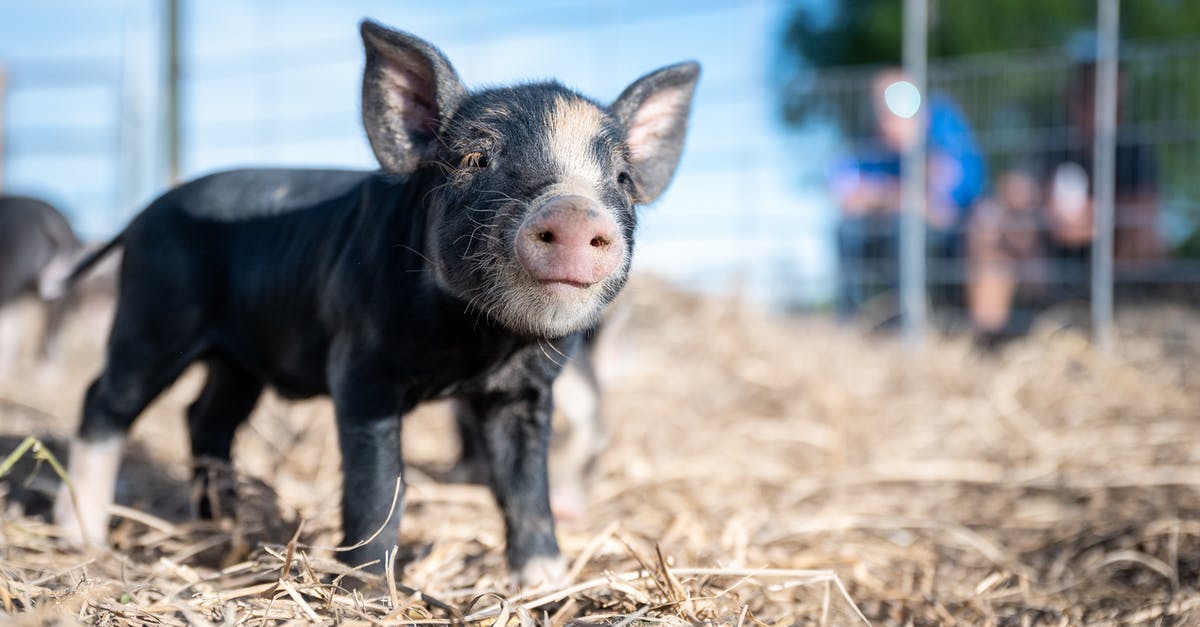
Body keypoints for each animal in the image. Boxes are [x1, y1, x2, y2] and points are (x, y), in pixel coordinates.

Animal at [55, 20, 698, 586]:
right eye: (476, 160)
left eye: (621, 179)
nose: (574, 210)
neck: (474, 343)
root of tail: (147, 211)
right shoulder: (360, 373)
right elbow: (379, 485)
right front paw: (367, 585)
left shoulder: (527, 392)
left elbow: (525, 488)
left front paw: (545, 584)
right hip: (153, 317)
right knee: (103, 401)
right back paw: (82, 535)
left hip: (238, 360)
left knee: (204, 416)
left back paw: (222, 526)